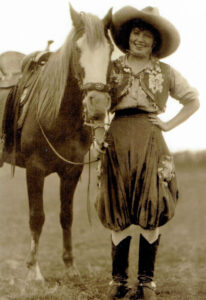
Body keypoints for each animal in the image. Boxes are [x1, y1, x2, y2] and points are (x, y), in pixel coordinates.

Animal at [0, 4, 113, 282]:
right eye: (77, 50)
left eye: (109, 51)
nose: (97, 104)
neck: (58, 114)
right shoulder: (35, 170)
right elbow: (37, 217)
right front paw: (33, 270)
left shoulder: (71, 172)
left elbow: (66, 216)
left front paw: (70, 267)